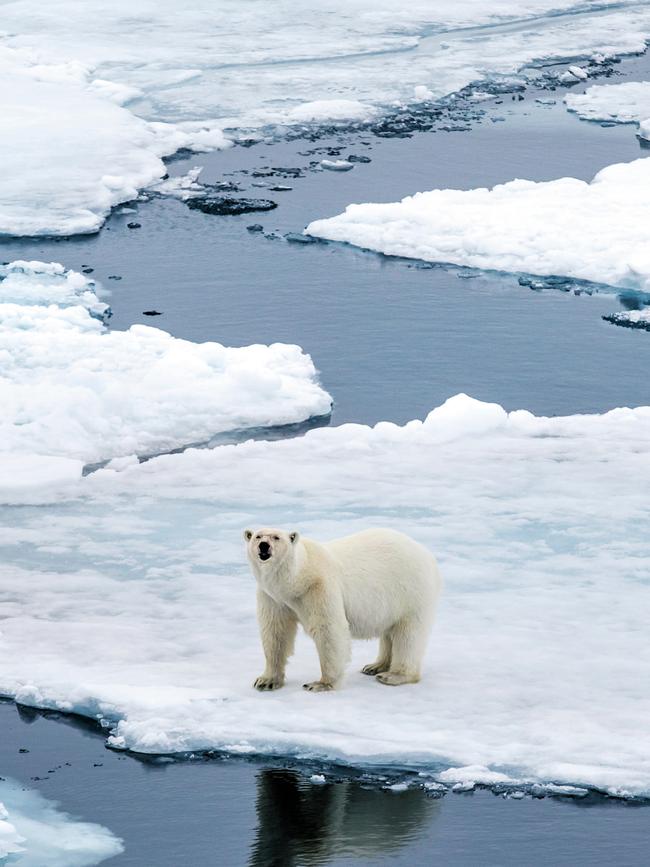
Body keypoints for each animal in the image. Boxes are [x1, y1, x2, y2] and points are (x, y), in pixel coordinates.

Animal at [243, 528, 440, 692]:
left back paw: (394, 675)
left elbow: (329, 630)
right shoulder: (274, 597)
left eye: (276, 537)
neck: (298, 579)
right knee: (389, 631)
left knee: (408, 634)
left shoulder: (319, 587)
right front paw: (266, 681)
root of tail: (427, 554)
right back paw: (375, 666)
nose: (264, 545)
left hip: (411, 591)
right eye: (257, 536)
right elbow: (276, 632)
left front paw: (320, 684)